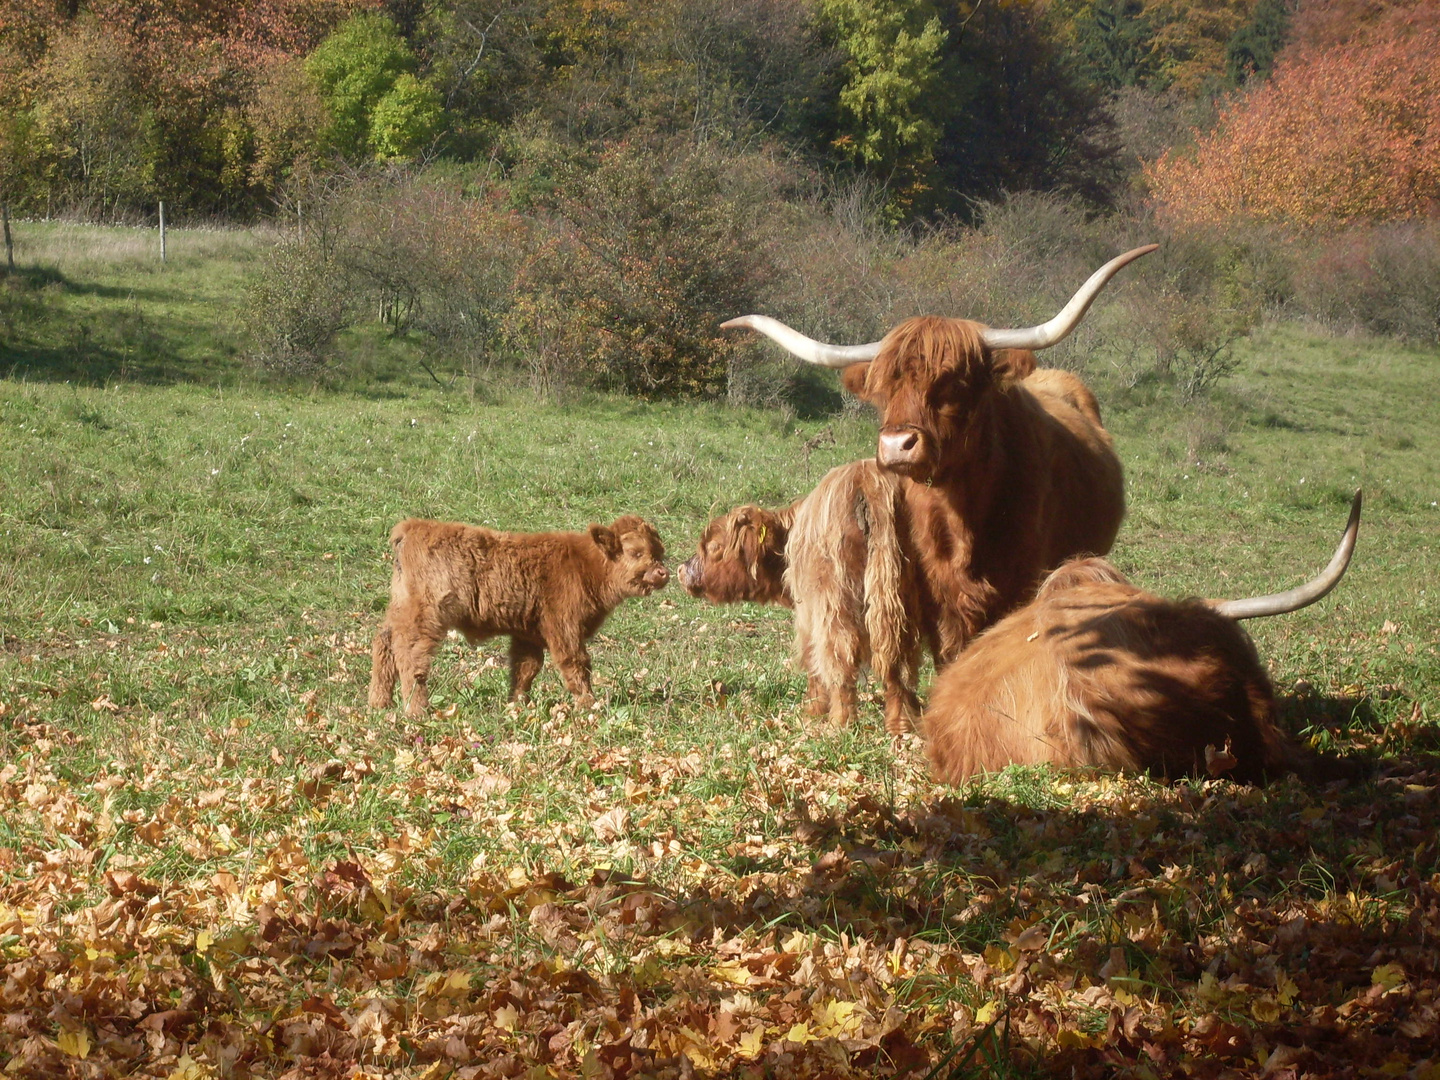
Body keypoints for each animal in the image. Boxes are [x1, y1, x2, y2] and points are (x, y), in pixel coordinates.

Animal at [365, 518, 668, 720]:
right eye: (636, 552)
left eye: (659, 552)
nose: (663, 572)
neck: (585, 565)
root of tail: (414, 526)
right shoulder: (564, 626)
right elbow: (576, 664)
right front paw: (588, 704)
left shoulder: (527, 634)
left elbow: (525, 669)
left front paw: (517, 704)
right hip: (425, 615)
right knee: (410, 655)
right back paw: (416, 710)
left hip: (401, 608)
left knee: (384, 643)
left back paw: (379, 702)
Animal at [682, 460, 933, 743]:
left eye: (714, 547)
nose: (682, 569)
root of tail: (868, 476)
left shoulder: (808, 613)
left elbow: (812, 660)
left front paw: (812, 712)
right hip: (902, 598)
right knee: (899, 662)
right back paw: (902, 727)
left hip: (835, 603)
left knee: (841, 659)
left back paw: (839, 724)